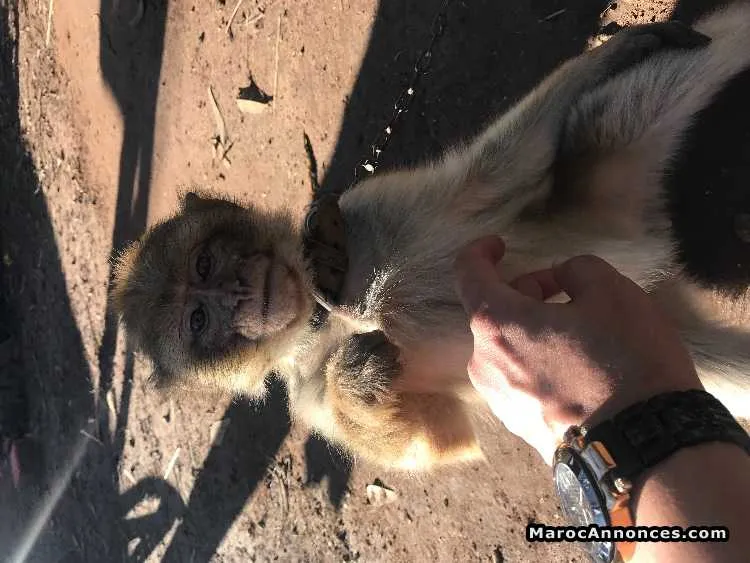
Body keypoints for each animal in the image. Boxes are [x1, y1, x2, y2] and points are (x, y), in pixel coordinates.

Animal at [113, 5, 750, 471]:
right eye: (199, 320)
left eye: (206, 264)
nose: (237, 293)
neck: (321, 318)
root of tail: (643, 247)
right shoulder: (306, 390)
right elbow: (441, 439)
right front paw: (356, 376)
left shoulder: (358, 211)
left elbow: (498, 170)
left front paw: (624, 47)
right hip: (635, 323)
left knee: (614, 113)